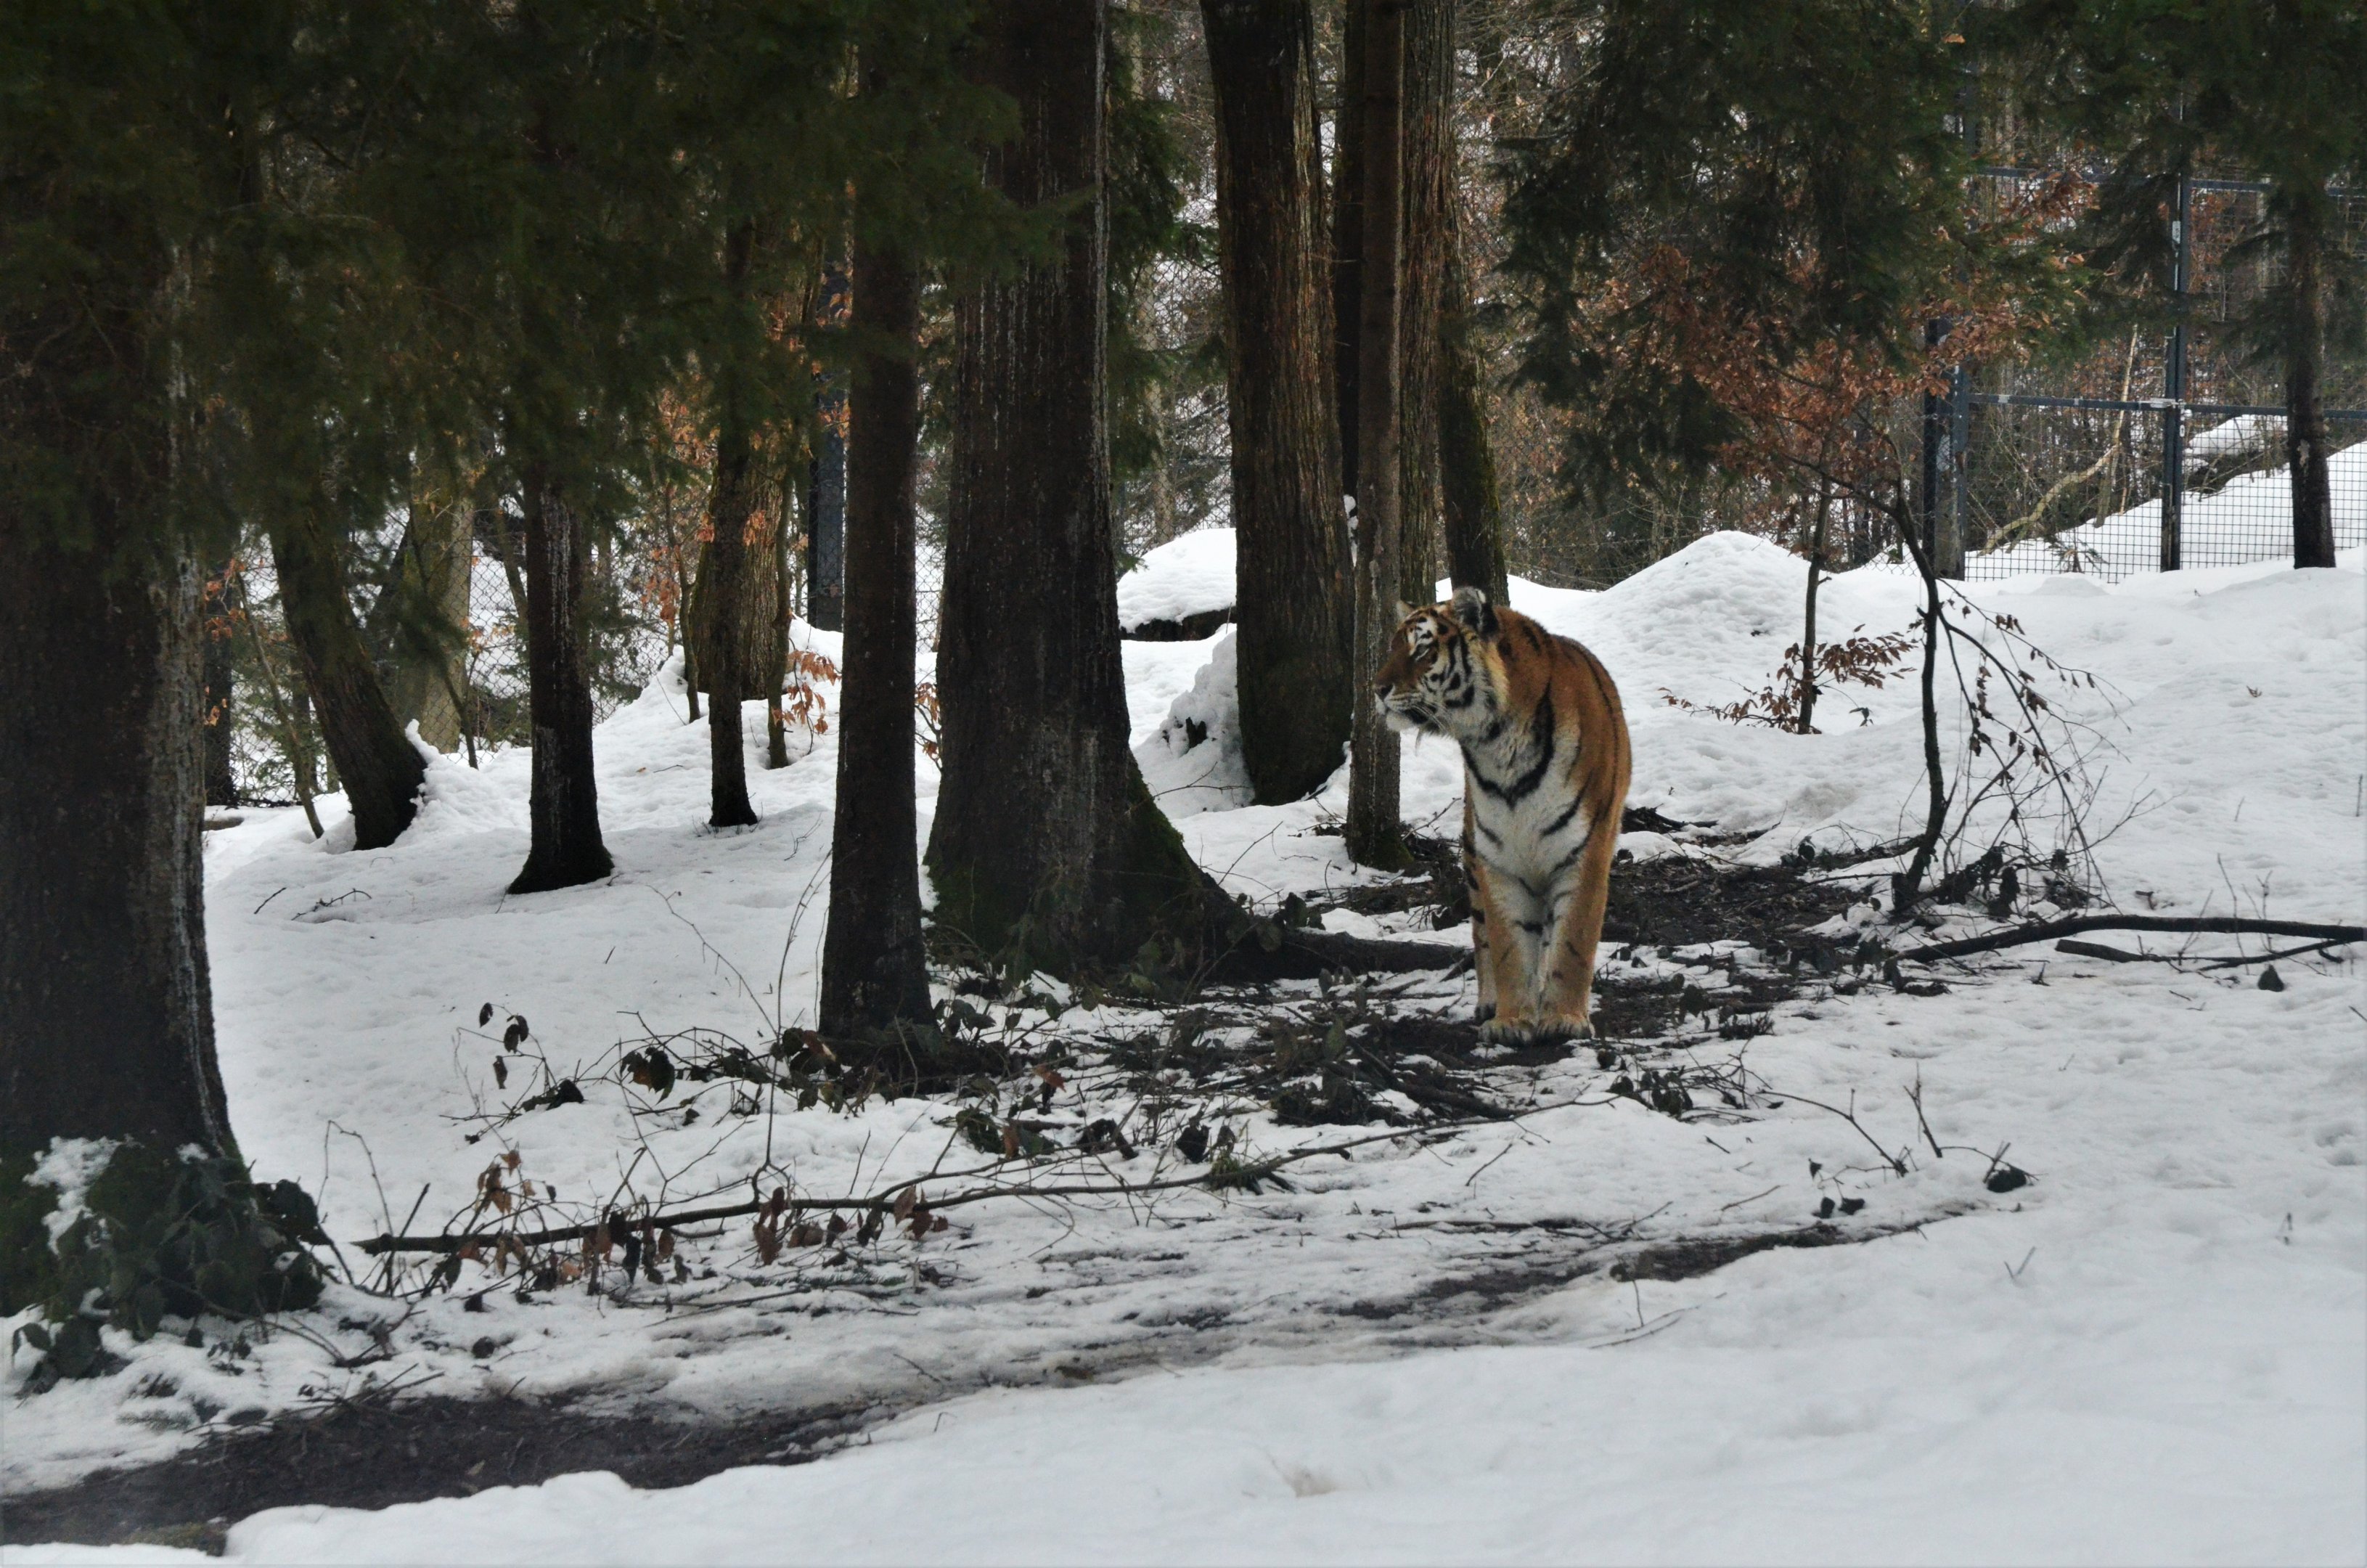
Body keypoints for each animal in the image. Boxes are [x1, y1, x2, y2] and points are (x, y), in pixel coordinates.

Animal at [1373, 586, 1632, 1043]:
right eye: (1392, 647)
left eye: (1422, 649)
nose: (1377, 688)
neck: (1496, 746)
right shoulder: (1498, 861)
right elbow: (1508, 945)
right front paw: (1511, 1021)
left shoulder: (1584, 853)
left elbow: (1573, 941)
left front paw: (1564, 1018)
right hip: (1473, 856)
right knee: (1481, 934)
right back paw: (1489, 1003)